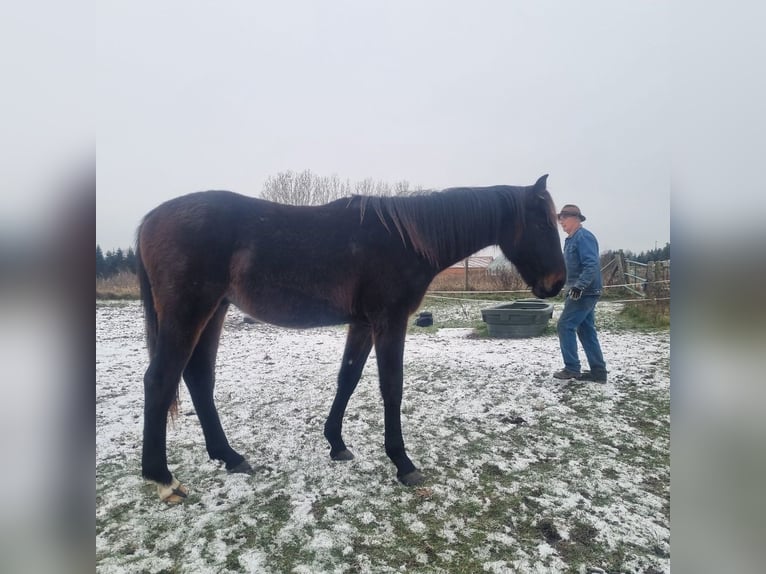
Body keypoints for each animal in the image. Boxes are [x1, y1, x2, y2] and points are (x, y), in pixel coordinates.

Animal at [135, 174, 568, 504]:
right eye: (544, 224)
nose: (557, 283)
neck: (405, 240)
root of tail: (151, 220)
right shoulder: (389, 321)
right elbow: (392, 386)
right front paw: (403, 463)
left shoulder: (362, 324)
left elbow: (348, 378)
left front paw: (336, 443)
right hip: (188, 313)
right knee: (160, 380)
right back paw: (163, 479)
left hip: (214, 312)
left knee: (198, 379)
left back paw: (228, 456)